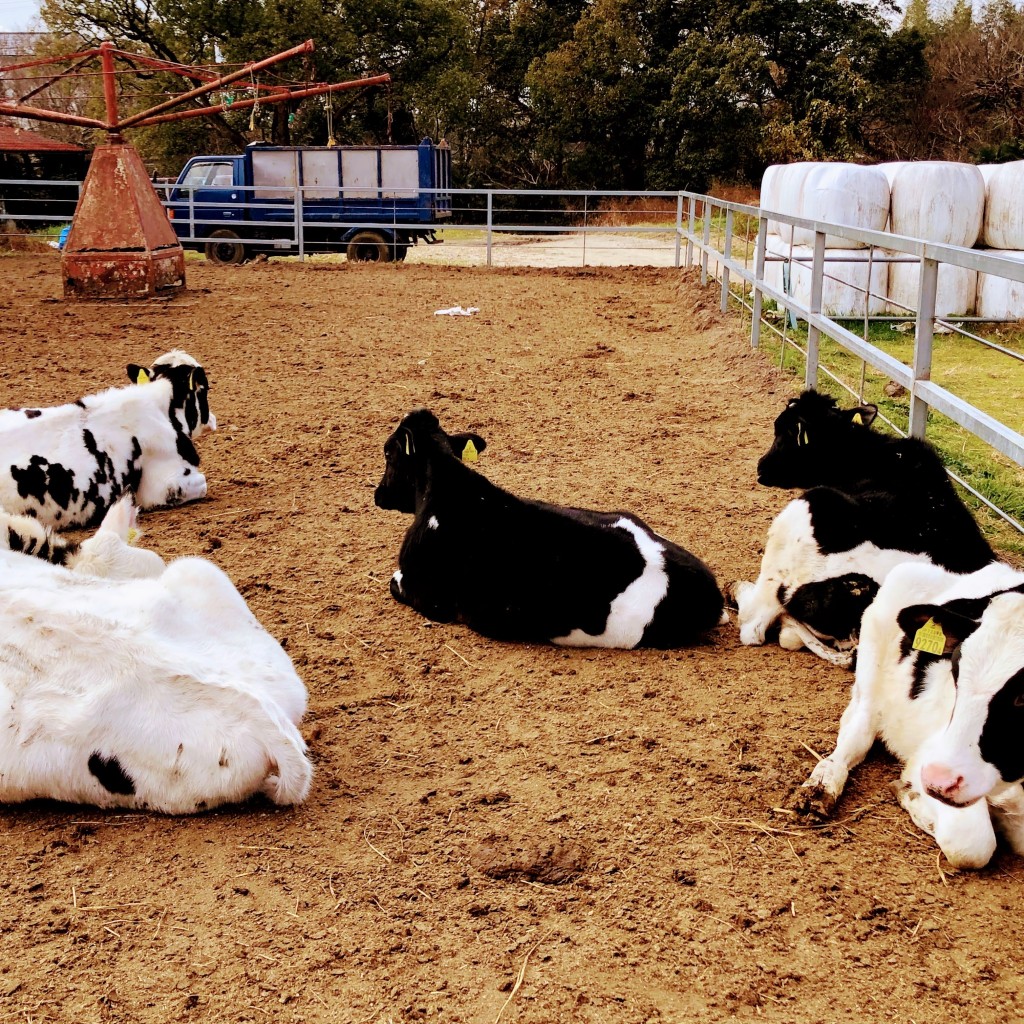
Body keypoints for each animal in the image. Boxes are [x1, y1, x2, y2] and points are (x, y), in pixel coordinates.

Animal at [794, 557, 1024, 868]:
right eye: (956, 669)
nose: (938, 780)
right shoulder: (931, 754)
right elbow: (972, 845)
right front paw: (908, 792)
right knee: (858, 731)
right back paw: (822, 786)